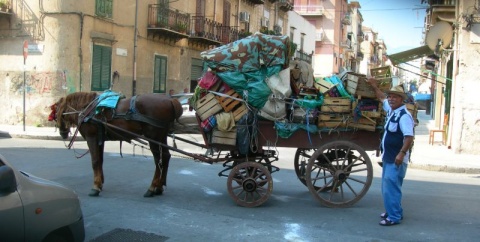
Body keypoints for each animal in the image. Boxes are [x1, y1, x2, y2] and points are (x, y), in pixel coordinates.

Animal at [49, 91, 182, 198]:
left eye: (56, 114)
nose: (63, 133)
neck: (86, 109)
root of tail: (170, 99)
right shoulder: (100, 139)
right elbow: (100, 160)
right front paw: (100, 183)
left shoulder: (92, 138)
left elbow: (95, 161)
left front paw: (95, 187)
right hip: (161, 136)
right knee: (166, 157)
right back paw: (159, 186)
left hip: (153, 137)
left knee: (158, 160)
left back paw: (152, 187)